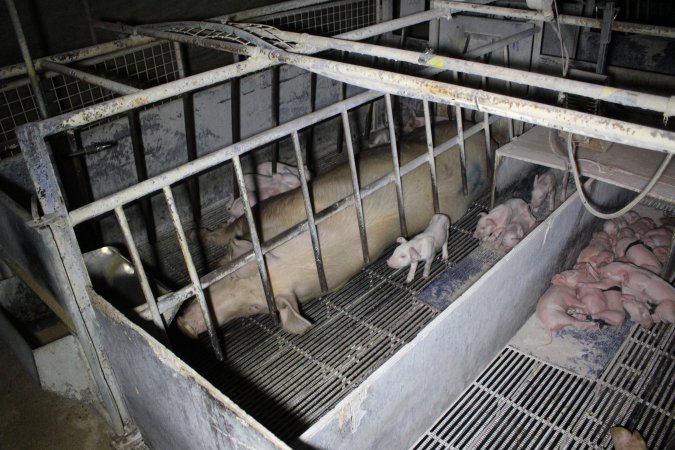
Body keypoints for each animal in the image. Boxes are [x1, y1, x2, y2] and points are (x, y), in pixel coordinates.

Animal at [177, 121, 488, 336]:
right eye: (230, 278)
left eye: (257, 306)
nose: (187, 326)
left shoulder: (269, 211)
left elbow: (229, 230)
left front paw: (196, 234)